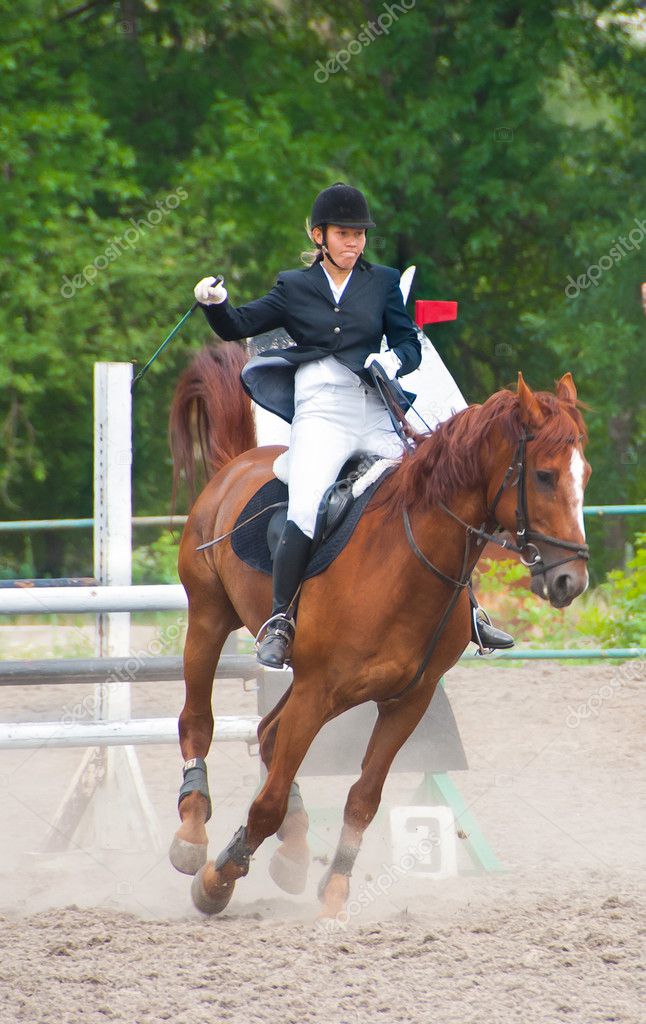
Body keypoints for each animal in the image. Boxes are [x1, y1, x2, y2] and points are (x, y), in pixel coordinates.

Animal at [167, 342, 591, 918]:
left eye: (584, 474)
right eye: (545, 476)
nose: (572, 580)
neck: (405, 564)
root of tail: (239, 464)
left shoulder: (406, 700)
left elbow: (362, 800)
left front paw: (334, 892)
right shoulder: (317, 689)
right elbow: (267, 803)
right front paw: (218, 879)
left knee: (270, 737)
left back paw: (293, 854)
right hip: (210, 619)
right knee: (198, 722)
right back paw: (192, 837)